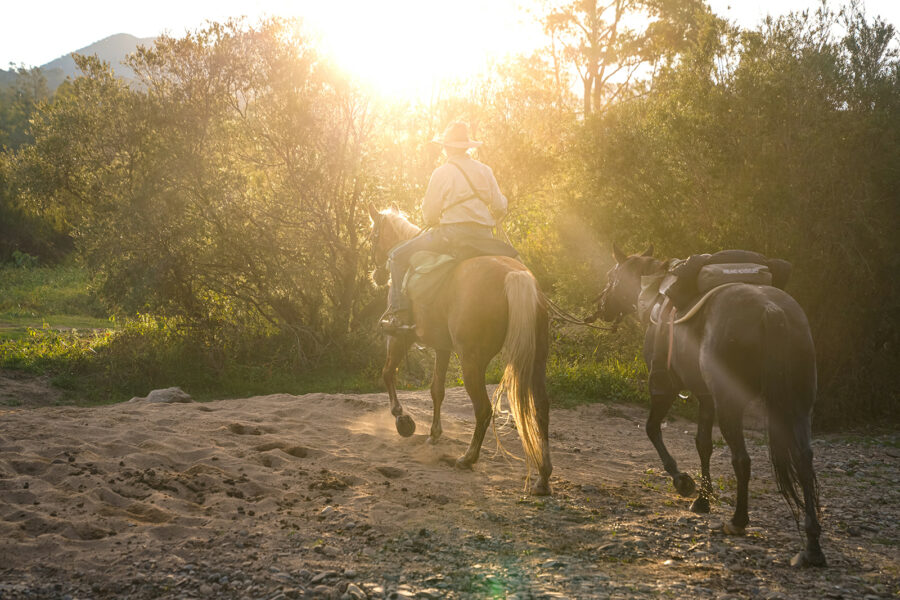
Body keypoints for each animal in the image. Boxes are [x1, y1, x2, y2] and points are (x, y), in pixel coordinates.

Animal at [366, 204, 553, 495]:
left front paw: (402, 419)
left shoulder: (399, 339)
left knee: (484, 410)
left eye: (373, 235)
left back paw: (468, 459)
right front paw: (434, 433)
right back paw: (543, 477)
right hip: (536, 360)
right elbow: (437, 390)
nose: (376, 275)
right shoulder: (442, 348)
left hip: (471, 362)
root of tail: (514, 275)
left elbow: (388, 373)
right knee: (541, 407)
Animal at [592, 245, 826, 567]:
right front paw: (703, 499)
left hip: (731, 405)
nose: (601, 305)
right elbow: (703, 444)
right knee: (804, 461)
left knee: (742, 460)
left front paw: (683, 482)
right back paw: (812, 546)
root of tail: (771, 311)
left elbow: (652, 429)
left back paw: (738, 521)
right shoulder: (705, 397)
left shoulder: (663, 388)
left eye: (610, 276)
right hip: (799, 406)